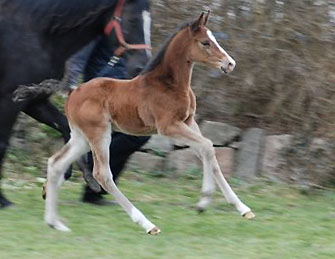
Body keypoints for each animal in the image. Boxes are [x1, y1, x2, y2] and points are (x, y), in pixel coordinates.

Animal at [0, 0, 151, 208]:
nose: (141, 66)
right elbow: (2, 144)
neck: (37, 35)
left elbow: (66, 128)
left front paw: (69, 179)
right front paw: (3, 200)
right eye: (132, 19)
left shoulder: (33, 101)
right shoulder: (10, 101)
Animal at [44, 11, 255, 236]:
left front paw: (242, 208)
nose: (230, 63)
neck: (169, 84)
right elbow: (207, 145)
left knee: (56, 163)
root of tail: (73, 92)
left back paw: (54, 223)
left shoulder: (189, 122)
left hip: (81, 137)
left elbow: (208, 154)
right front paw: (203, 201)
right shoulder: (168, 126)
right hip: (99, 133)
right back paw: (147, 224)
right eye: (205, 42)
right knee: (102, 174)